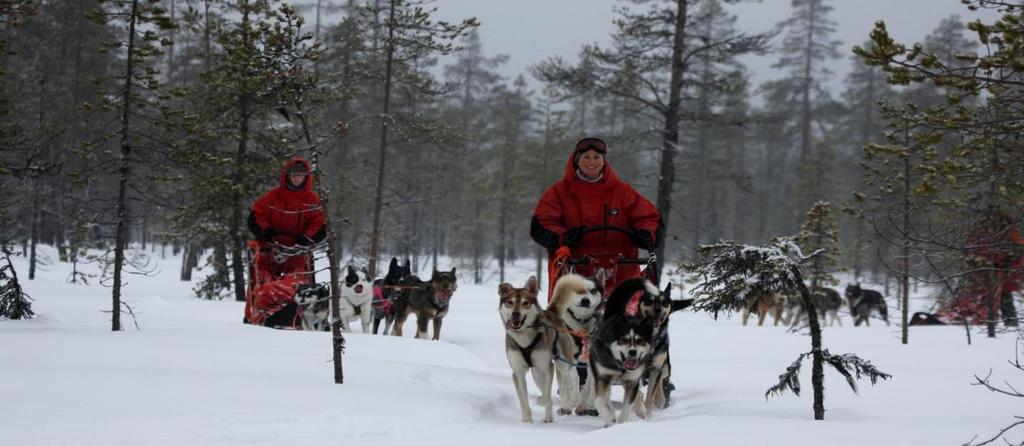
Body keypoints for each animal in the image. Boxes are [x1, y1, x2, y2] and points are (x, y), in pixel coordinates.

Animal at [499, 276, 557, 423]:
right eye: (510, 302)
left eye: (525, 303)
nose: (515, 314)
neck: (523, 337)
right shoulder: (518, 371)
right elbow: (522, 399)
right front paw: (526, 419)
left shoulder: (547, 367)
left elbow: (546, 395)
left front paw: (540, 401)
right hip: (536, 374)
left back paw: (549, 416)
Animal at [548, 272, 602, 417]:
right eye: (578, 291)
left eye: (592, 290)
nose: (585, 300)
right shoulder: (564, 360)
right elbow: (569, 382)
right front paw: (566, 406)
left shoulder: (592, 361)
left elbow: (588, 387)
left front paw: (583, 406)